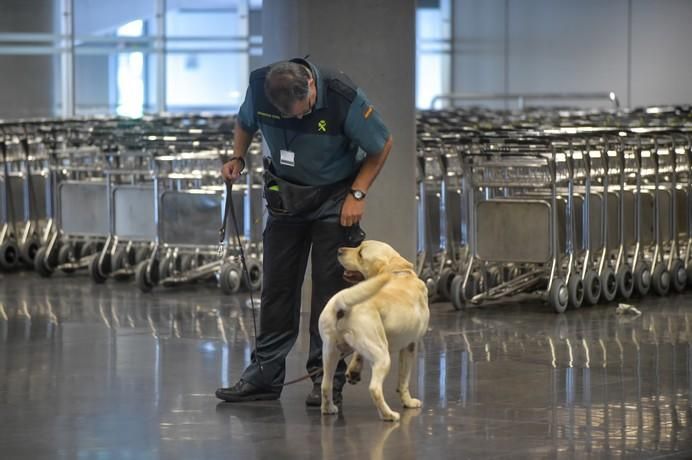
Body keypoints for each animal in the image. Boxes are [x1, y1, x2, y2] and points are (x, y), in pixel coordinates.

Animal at [318, 241, 428, 420]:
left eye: (360, 253)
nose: (339, 250)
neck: (397, 272)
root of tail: (342, 303)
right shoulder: (410, 345)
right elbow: (403, 380)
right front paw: (409, 402)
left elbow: (358, 354)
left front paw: (354, 371)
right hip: (383, 356)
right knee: (374, 389)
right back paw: (389, 415)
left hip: (330, 353)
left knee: (325, 384)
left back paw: (328, 408)